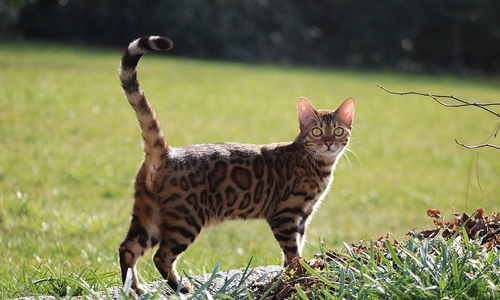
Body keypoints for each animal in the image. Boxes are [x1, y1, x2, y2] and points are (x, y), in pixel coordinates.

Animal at [117, 35, 354, 296]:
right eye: (317, 132)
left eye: (338, 131)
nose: (329, 143)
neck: (319, 165)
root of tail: (166, 152)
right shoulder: (285, 215)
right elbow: (292, 254)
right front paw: (298, 277)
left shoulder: (303, 217)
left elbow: (292, 253)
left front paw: (291, 278)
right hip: (185, 220)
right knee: (161, 256)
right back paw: (182, 287)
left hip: (148, 214)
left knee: (127, 248)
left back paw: (135, 289)